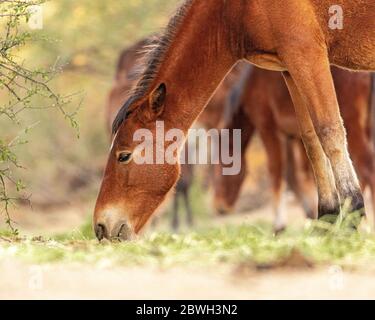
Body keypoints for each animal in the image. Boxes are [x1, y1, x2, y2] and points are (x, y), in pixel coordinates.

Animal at [213, 66, 374, 231]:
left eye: (222, 166)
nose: (219, 206)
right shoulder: (293, 138)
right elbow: (298, 175)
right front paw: (315, 216)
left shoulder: (268, 128)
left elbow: (277, 172)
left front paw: (279, 226)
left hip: (353, 126)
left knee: (367, 166)